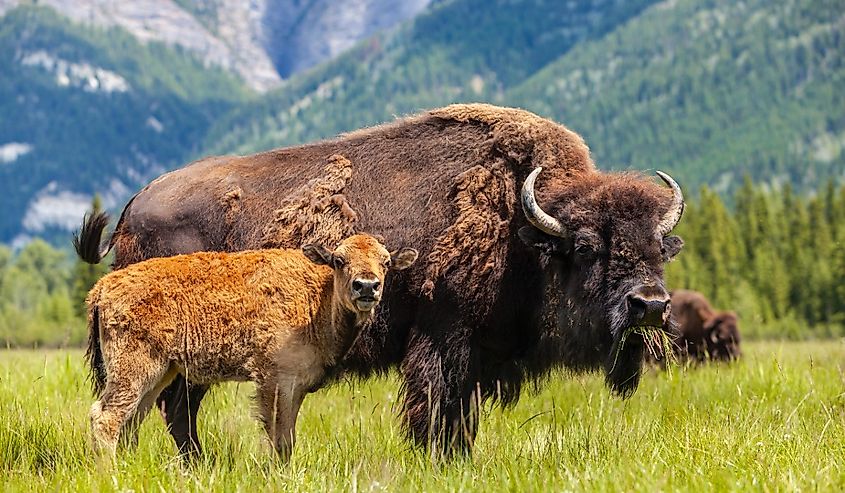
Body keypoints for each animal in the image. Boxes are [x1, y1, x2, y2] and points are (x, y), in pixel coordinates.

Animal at [85, 233, 416, 460]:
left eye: (386, 262)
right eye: (339, 260)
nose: (366, 286)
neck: (317, 298)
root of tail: (103, 286)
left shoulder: (296, 385)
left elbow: (288, 436)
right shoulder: (274, 380)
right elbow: (279, 437)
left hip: (159, 373)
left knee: (132, 419)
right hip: (133, 370)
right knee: (106, 417)